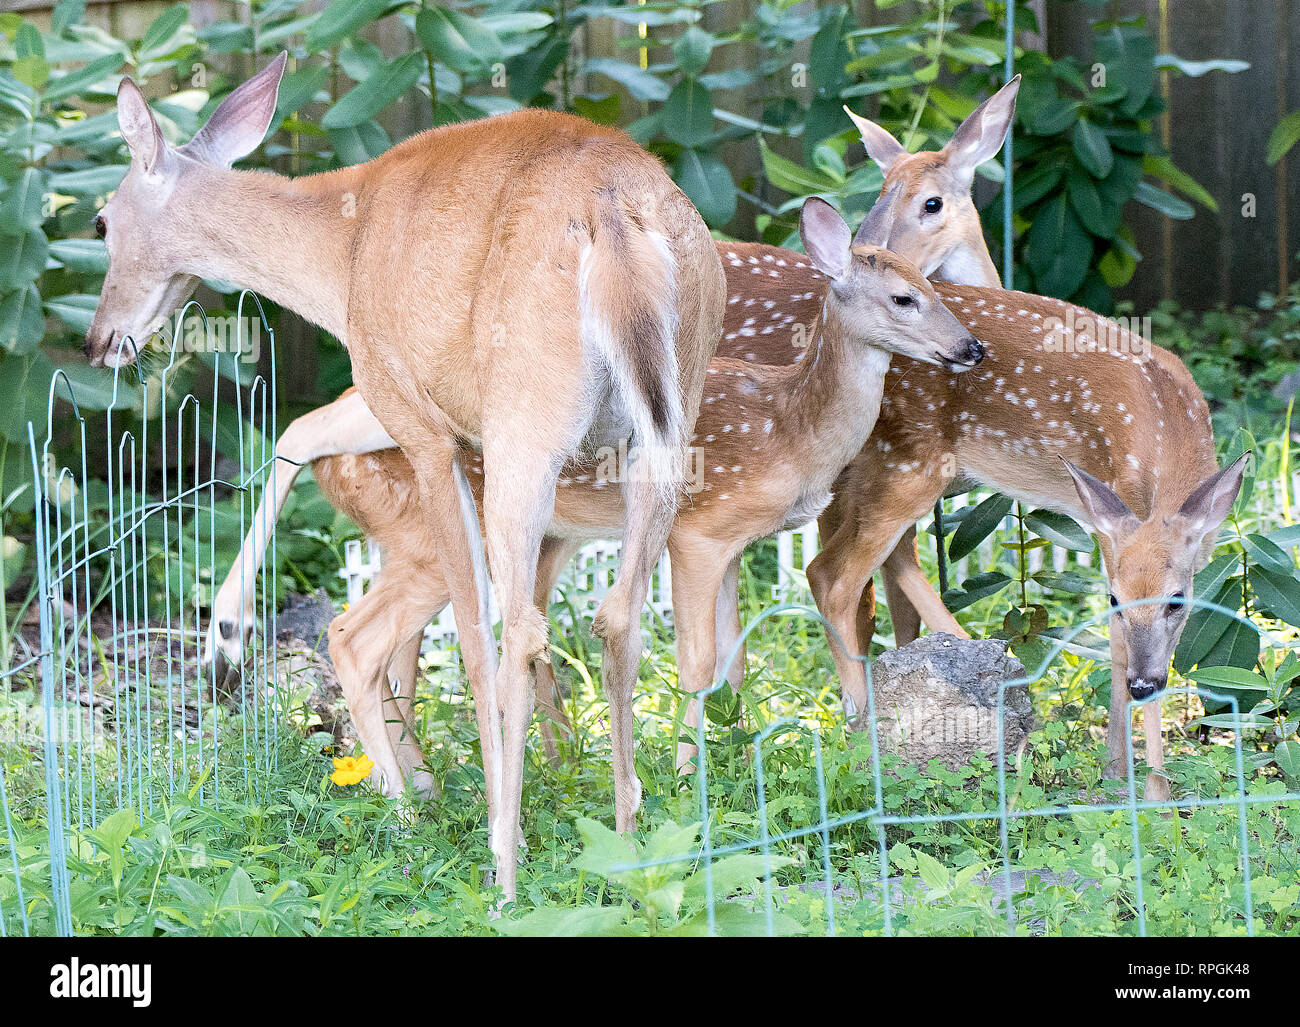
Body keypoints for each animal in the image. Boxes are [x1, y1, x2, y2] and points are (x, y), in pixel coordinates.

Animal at [86, 54, 728, 899]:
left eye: (100, 222)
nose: (99, 341)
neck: (338, 254)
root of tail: (613, 212)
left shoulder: (418, 418)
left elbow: (468, 629)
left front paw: (227, 631)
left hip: (526, 421)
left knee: (518, 626)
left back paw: (505, 862)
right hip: (667, 422)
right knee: (619, 615)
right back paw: (629, 844)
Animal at [205, 192, 977, 795]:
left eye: (937, 287)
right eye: (904, 298)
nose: (970, 348)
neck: (792, 428)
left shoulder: (736, 545)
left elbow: (733, 655)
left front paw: (738, 747)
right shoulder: (700, 532)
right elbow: (697, 661)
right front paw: (685, 775)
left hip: (408, 542)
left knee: (402, 651)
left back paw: (430, 781)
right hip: (430, 541)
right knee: (354, 635)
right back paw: (405, 799)